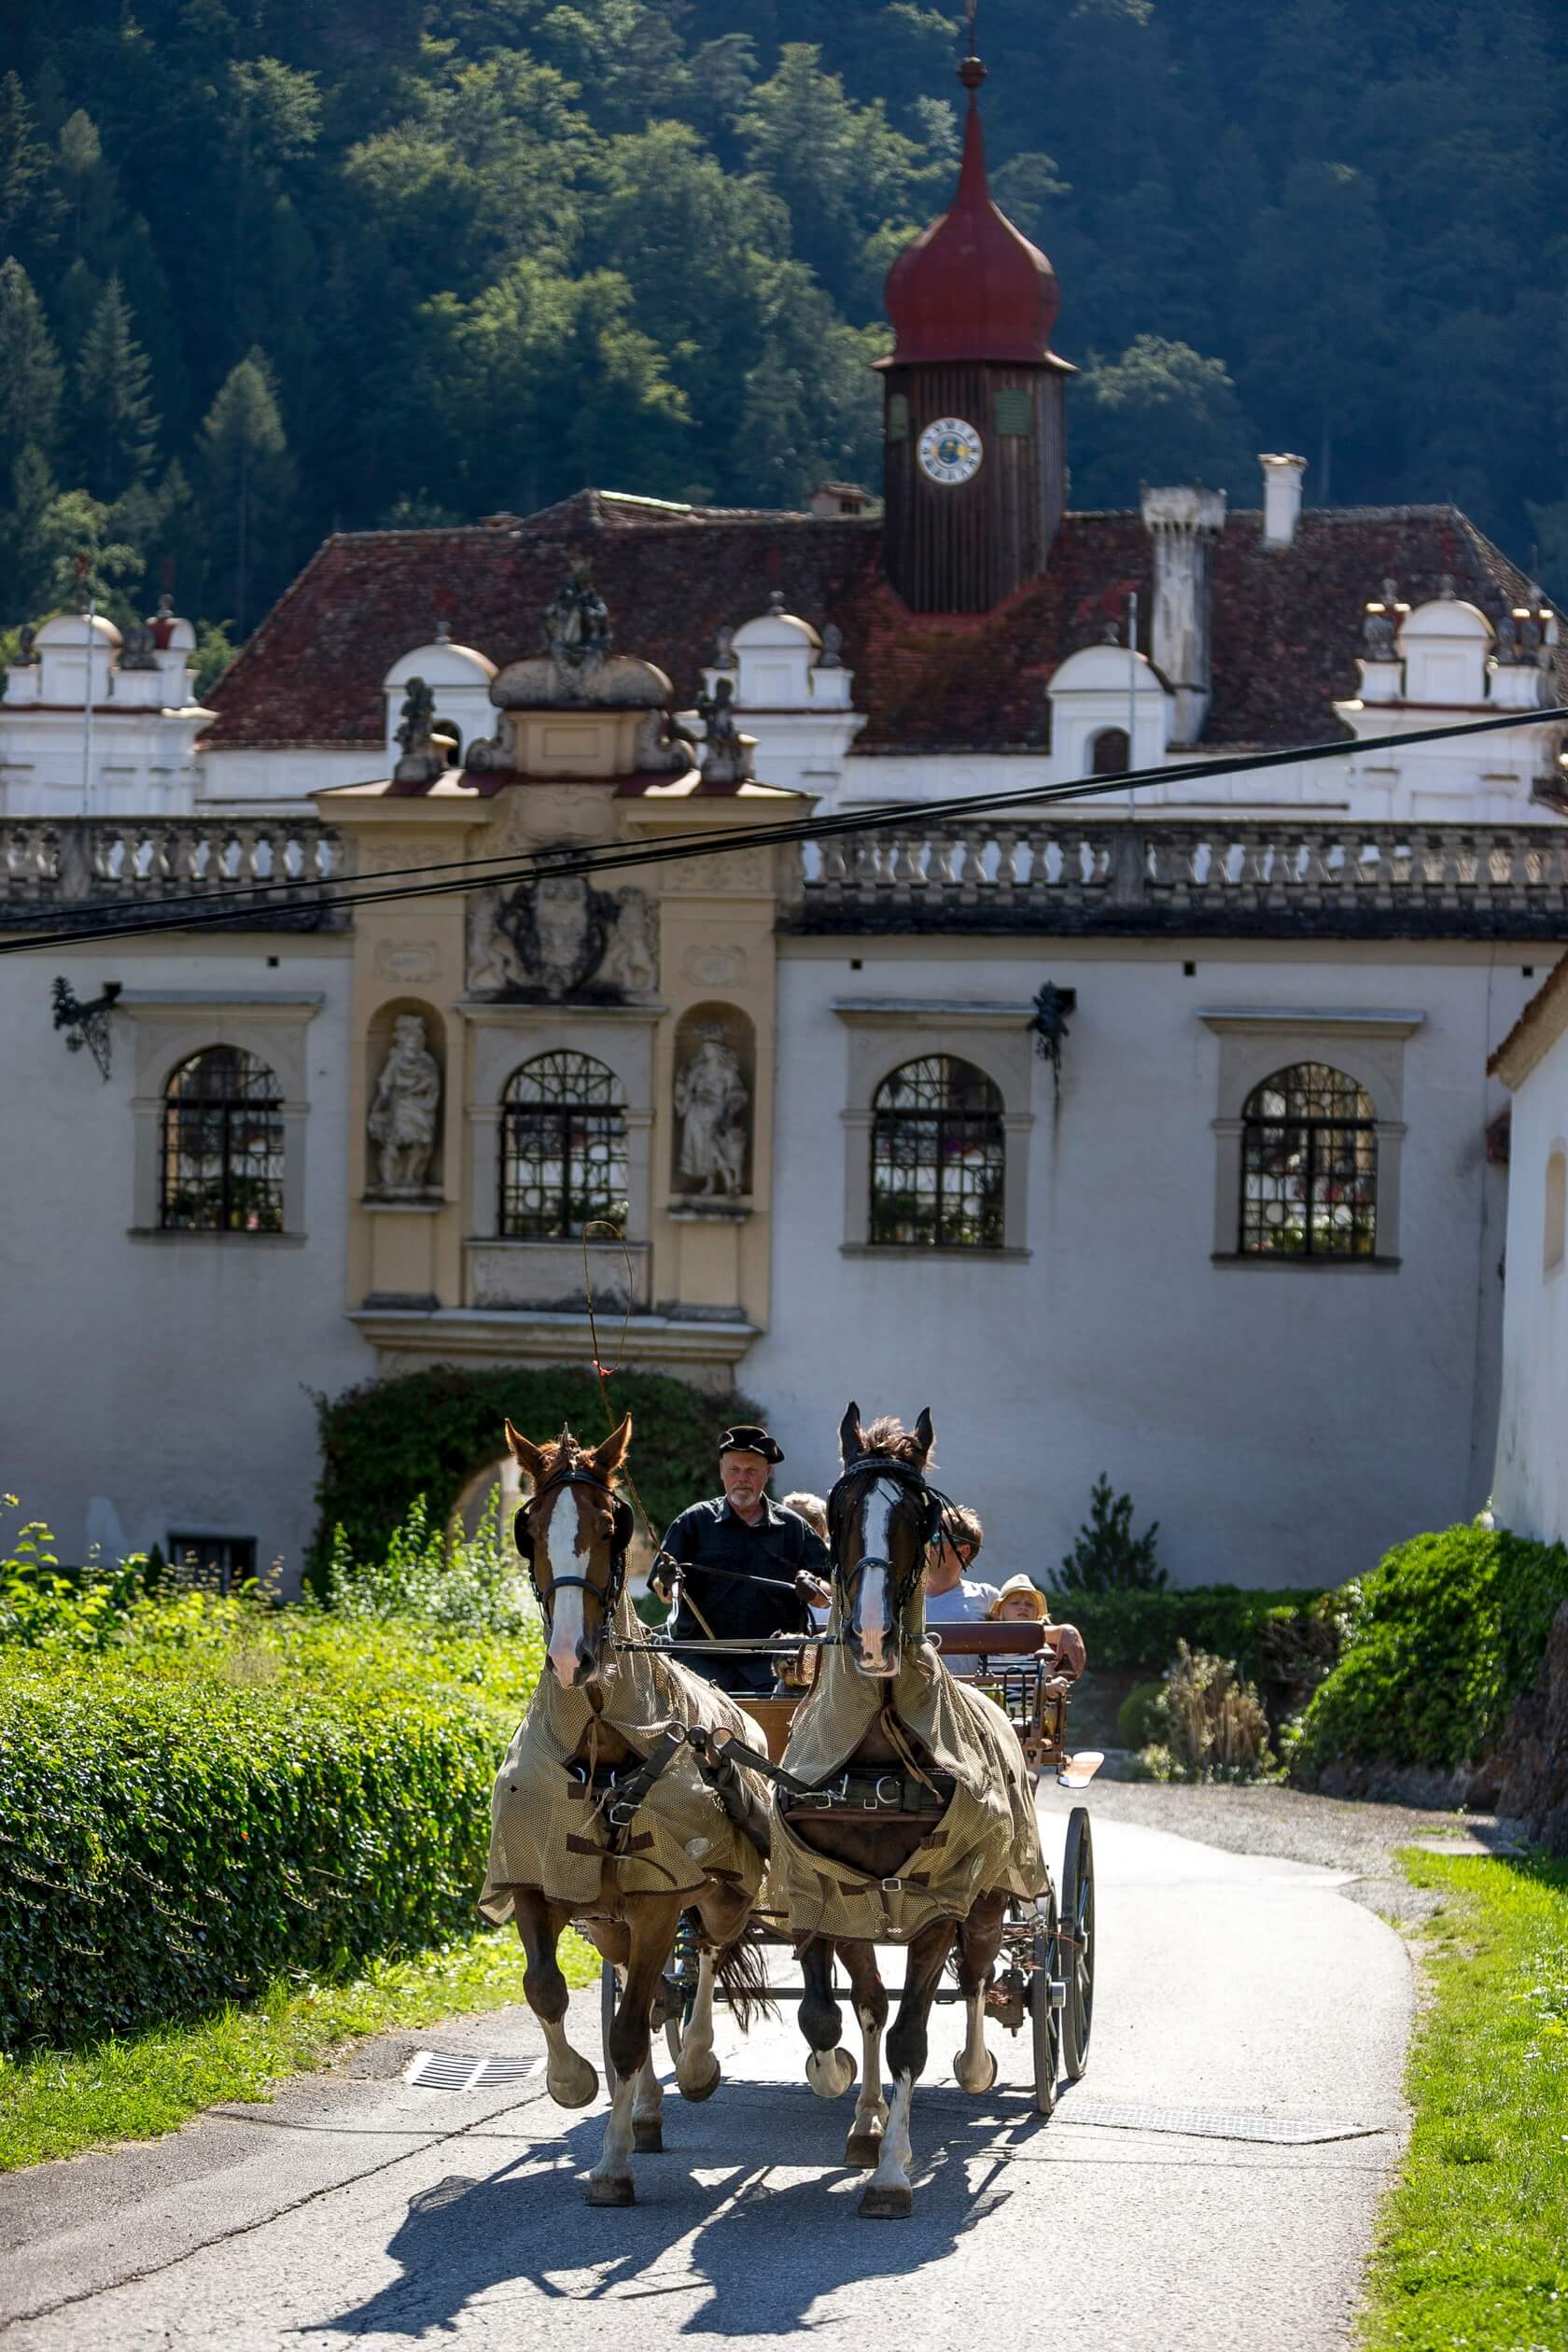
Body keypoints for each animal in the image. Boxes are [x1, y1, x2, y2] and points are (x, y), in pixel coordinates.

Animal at [479, 1411, 771, 2201]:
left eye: (612, 1524)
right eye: (528, 1526)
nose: (570, 1655)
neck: (607, 1745)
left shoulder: (657, 1900)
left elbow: (630, 2031)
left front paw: (611, 2165)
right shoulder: (540, 1880)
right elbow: (547, 1991)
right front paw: (572, 2083)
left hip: (718, 1894)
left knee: (707, 1957)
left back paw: (694, 2064)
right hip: (609, 1924)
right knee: (658, 1992)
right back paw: (643, 2108)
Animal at [771, 1401, 1043, 2210]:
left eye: (922, 1518)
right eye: (837, 1510)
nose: (869, 1634)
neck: (875, 1754)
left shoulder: (938, 1900)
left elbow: (910, 2038)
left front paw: (893, 2172)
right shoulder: (827, 1889)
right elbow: (831, 2012)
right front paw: (840, 2087)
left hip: (989, 1894)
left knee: (981, 1974)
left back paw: (976, 2068)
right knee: (870, 2002)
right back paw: (864, 2115)